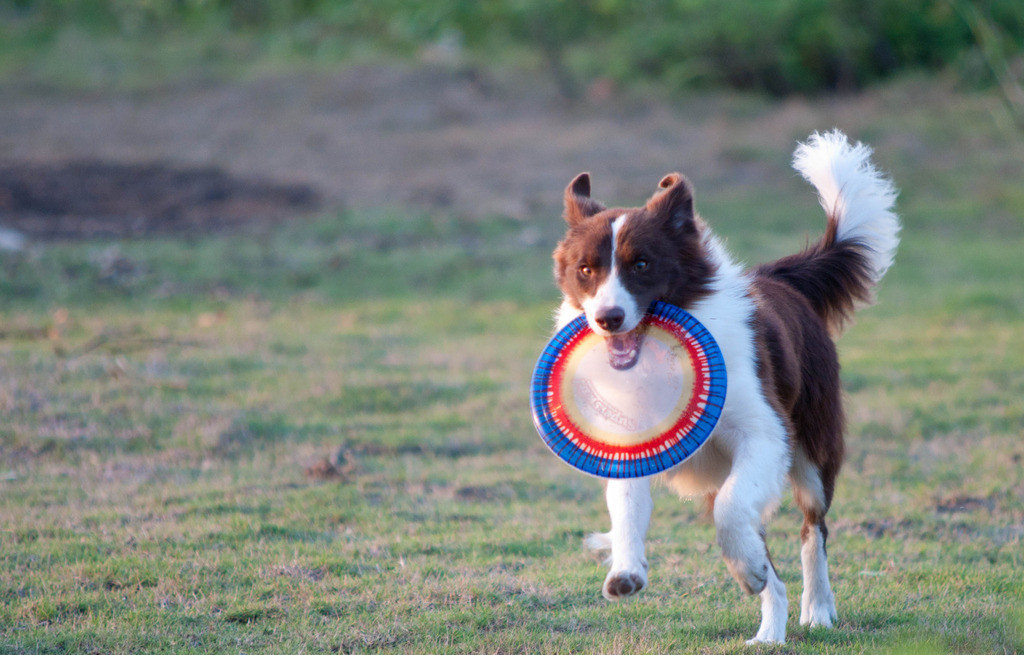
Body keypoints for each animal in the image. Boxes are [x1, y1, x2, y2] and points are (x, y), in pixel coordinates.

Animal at [552, 130, 897, 642]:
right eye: (586, 269)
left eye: (642, 264)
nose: (607, 319)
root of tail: (778, 278)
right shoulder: (630, 443)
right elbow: (626, 503)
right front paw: (625, 569)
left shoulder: (765, 433)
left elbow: (732, 512)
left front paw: (747, 570)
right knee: (773, 565)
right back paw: (769, 634)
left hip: (812, 451)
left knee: (811, 529)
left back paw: (814, 608)